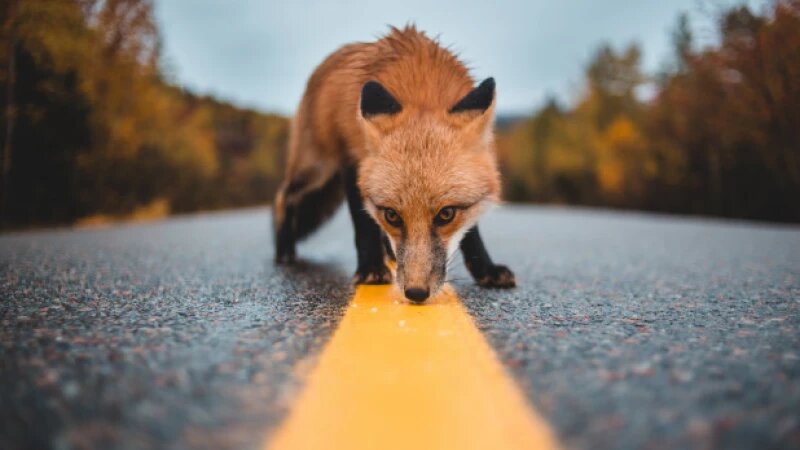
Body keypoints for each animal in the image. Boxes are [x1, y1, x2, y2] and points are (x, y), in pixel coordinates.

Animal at [273, 25, 515, 303]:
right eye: (392, 215)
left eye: (446, 214)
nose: (416, 293)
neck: (422, 88)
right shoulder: (352, 163)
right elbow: (363, 223)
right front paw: (370, 268)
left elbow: (471, 233)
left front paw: (486, 269)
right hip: (317, 169)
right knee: (283, 196)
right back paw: (284, 249)